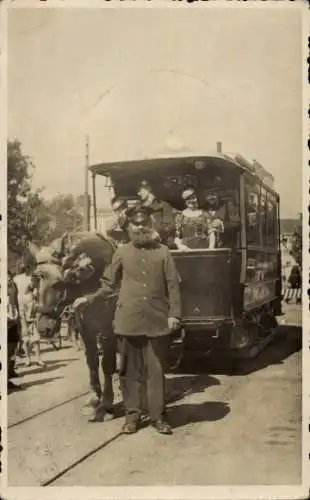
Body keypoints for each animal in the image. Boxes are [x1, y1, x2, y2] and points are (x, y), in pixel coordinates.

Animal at [28, 232, 118, 420]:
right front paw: (94, 399)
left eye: (58, 283)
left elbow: (106, 363)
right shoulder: (86, 331)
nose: (43, 328)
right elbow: (92, 362)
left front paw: (107, 402)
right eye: (34, 281)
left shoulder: (108, 332)